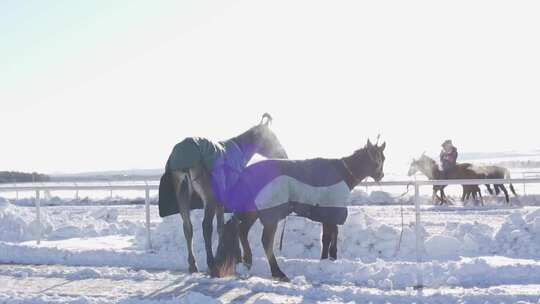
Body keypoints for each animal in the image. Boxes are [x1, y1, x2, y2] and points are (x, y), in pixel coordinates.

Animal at [158, 113, 288, 274]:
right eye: (272, 137)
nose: (283, 154)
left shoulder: (220, 203)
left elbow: (220, 227)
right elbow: (232, 223)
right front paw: (238, 258)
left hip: (183, 195)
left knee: (188, 228)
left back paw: (193, 265)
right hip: (208, 199)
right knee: (206, 227)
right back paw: (211, 263)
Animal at [213, 139, 386, 282]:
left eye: (383, 158)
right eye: (376, 158)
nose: (381, 175)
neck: (341, 173)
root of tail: (245, 173)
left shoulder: (326, 214)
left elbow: (326, 237)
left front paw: (324, 259)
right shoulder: (332, 211)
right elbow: (333, 235)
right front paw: (332, 257)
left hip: (252, 212)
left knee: (242, 231)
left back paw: (247, 261)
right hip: (270, 214)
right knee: (265, 241)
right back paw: (278, 272)